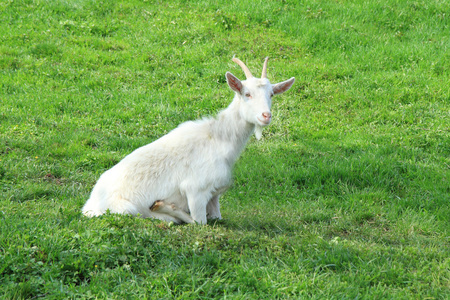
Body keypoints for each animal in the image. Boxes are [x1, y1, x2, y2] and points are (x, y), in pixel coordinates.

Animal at [81, 57, 296, 224]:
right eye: (246, 94)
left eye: (271, 94)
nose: (266, 116)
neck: (219, 139)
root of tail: (89, 206)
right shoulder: (196, 191)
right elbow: (198, 222)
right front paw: (164, 207)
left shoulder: (214, 194)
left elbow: (216, 217)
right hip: (126, 209)